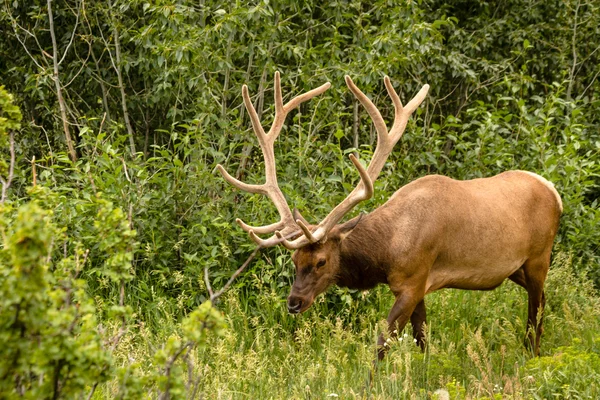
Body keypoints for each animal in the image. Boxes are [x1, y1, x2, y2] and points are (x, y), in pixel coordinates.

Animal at [217, 70, 564, 358]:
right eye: (294, 260)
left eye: (321, 261)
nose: (293, 302)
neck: (386, 253)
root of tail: (554, 191)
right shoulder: (419, 286)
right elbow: (422, 339)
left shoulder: (413, 281)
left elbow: (383, 342)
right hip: (515, 268)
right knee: (544, 301)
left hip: (539, 257)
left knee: (535, 311)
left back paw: (532, 356)